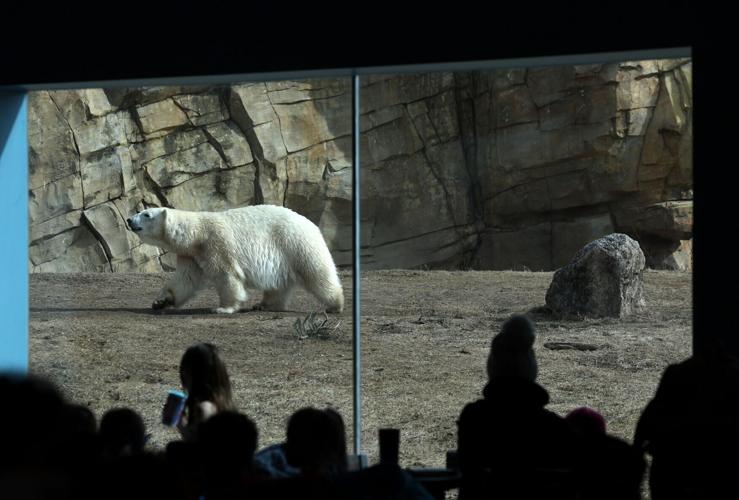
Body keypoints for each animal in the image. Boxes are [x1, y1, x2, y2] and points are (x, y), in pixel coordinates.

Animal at [126, 204, 344, 314]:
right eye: (140, 211)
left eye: (146, 214)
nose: (129, 220)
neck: (196, 234)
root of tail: (312, 224)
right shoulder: (191, 255)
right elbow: (184, 280)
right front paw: (160, 301)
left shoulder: (216, 243)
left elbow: (227, 274)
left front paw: (224, 308)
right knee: (279, 284)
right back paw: (264, 304)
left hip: (296, 243)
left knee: (317, 273)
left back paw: (335, 304)